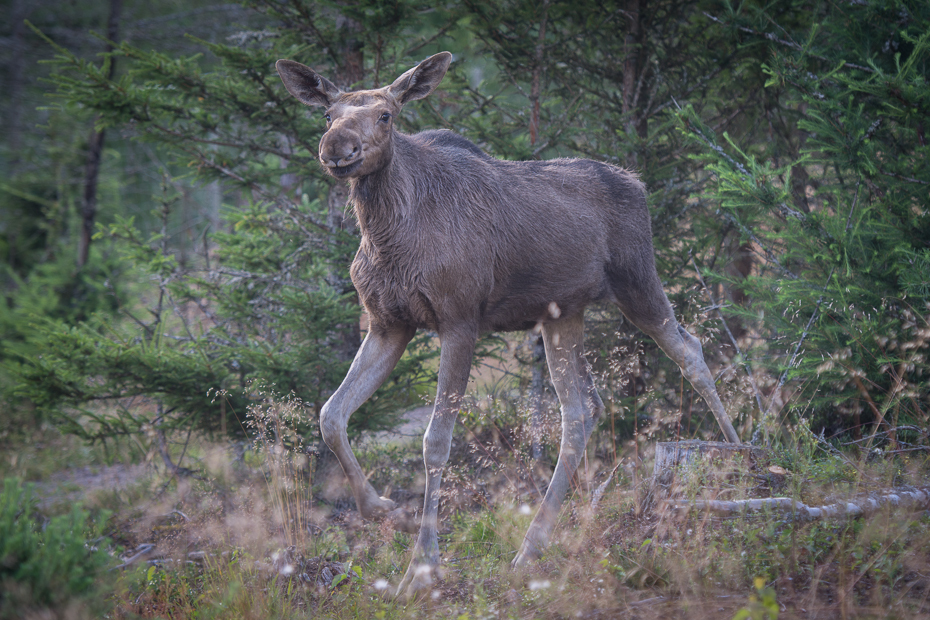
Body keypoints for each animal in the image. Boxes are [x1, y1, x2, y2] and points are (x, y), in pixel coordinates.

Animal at [276, 52, 740, 596]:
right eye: (328, 115)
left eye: (386, 115)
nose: (337, 149)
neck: (387, 233)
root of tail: (638, 182)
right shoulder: (388, 323)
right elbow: (331, 414)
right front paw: (383, 508)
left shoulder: (460, 320)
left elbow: (435, 442)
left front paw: (422, 565)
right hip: (564, 315)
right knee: (584, 408)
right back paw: (531, 545)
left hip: (637, 281)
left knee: (689, 349)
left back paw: (740, 449)